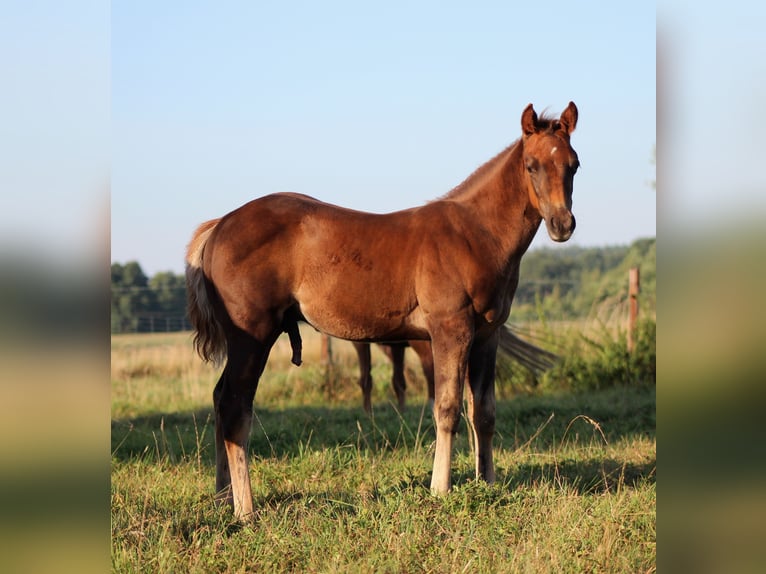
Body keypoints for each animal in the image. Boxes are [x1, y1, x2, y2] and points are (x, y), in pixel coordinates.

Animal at [186, 102, 579, 519]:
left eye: (573, 164)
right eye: (531, 165)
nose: (562, 224)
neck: (475, 235)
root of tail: (219, 226)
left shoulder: (488, 336)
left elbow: (483, 412)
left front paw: (486, 484)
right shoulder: (450, 330)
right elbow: (447, 407)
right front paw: (440, 488)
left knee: (219, 398)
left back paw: (222, 497)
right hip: (252, 337)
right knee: (234, 407)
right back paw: (245, 509)